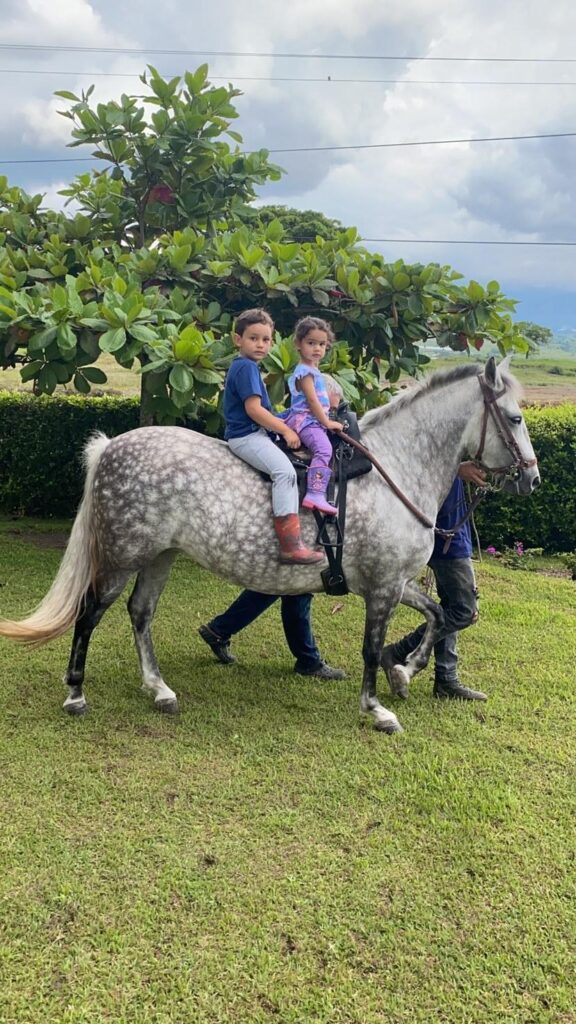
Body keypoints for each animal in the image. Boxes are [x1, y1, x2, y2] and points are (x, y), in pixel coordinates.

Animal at [0, 357, 539, 733]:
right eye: (514, 418)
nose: (532, 478)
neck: (393, 469)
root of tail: (110, 446)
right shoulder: (383, 588)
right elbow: (372, 647)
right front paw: (377, 708)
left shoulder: (393, 582)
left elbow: (438, 613)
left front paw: (406, 671)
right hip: (121, 556)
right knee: (90, 613)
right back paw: (75, 695)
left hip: (159, 557)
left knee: (140, 613)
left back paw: (159, 689)